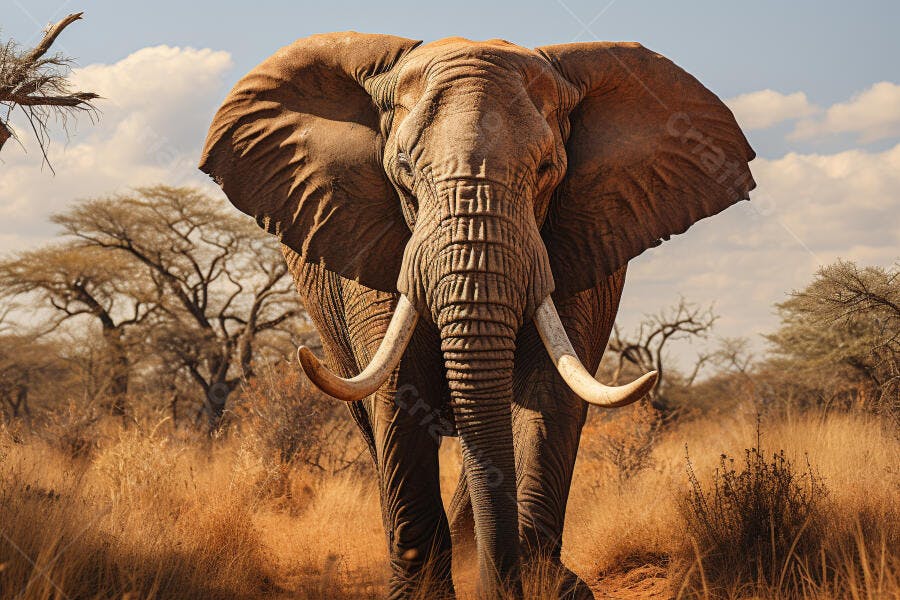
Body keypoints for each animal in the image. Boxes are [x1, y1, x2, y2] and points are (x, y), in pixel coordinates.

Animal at [199, 32, 754, 598]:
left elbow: (547, 392)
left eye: (547, 170)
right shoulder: (368, 239)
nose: (500, 584)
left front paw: (543, 583)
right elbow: (401, 388)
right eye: (403, 170)